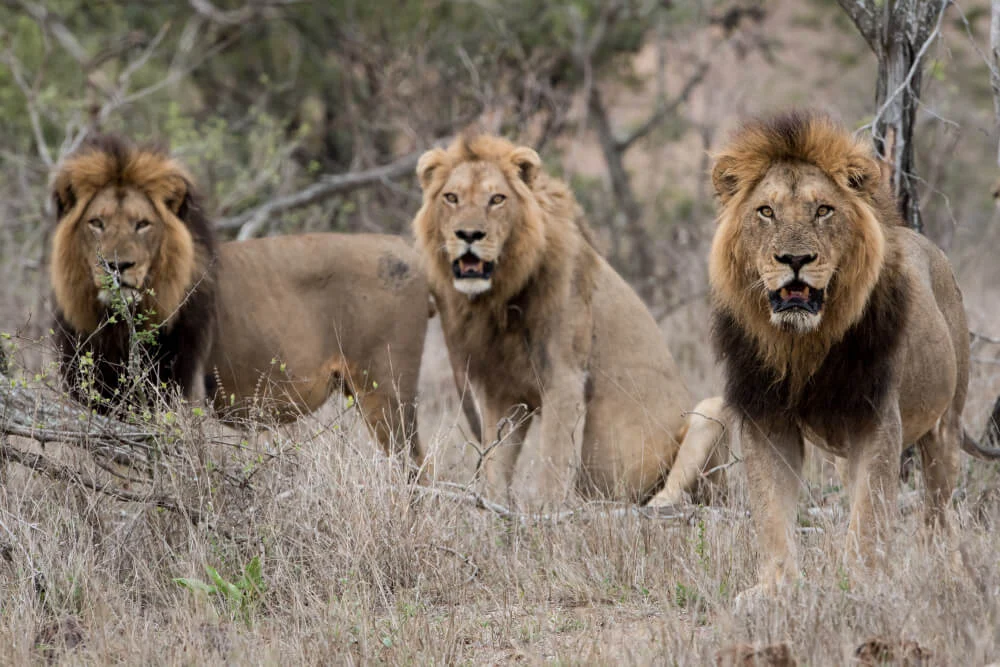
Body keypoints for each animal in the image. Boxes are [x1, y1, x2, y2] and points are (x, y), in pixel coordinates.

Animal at [413, 134, 728, 507]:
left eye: (496, 199)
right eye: (452, 197)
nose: (469, 235)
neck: (501, 295)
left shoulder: (564, 379)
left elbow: (552, 463)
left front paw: (545, 515)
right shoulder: (503, 392)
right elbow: (495, 465)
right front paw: (494, 508)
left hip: (712, 415)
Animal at [707, 111, 1000, 600]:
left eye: (823, 209)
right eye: (766, 211)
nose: (795, 259)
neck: (803, 344)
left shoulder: (877, 417)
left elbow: (870, 513)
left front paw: (862, 586)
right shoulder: (766, 419)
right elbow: (771, 509)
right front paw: (774, 588)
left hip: (946, 422)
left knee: (937, 512)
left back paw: (946, 573)